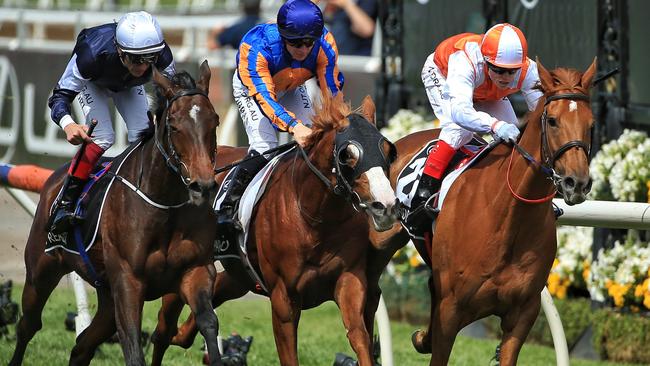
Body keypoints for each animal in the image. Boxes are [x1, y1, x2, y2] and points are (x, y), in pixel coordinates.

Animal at [8, 63, 223, 366]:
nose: (202, 185)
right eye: (173, 125)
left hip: (106, 295)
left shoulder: (196, 271)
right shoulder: (127, 280)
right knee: (28, 325)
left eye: (214, 121)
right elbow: (132, 346)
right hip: (41, 270)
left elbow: (208, 323)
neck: (164, 204)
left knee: (82, 346)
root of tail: (55, 179)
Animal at [149, 95, 398, 366]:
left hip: (239, 277)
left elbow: (359, 337)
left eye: (388, 151)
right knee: (162, 331)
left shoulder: (350, 280)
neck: (315, 219)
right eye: (348, 154)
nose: (385, 205)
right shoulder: (283, 298)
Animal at [368, 58, 596, 364]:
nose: (577, 183)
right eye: (552, 120)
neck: (508, 218)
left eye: (591, 124)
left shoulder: (523, 313)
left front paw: (421, 338)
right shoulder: (451, 310)